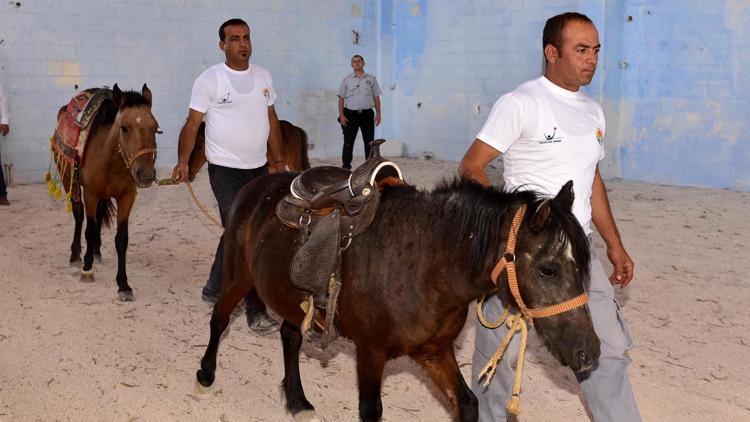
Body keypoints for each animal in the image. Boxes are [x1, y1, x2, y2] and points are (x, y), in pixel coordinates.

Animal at [53, 85, 160, 300]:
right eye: (124, 128)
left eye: (155, 128)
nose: (146, 175)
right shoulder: (91, 195)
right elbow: (89, 230)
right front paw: (86, 269)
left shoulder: (127, 197)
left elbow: (121, 239)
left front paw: (123, 285)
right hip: (69, 178)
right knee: (79, 215)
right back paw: (76, 257)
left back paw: (96, 252)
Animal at [197, 172, 604, 422]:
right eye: (548, 269)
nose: (589, 352)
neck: (428, 265)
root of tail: (259, 183)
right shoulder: (370, 352)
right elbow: (371, 409)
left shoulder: (434, 352)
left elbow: (467, 402)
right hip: (238, 275)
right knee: (220, 317)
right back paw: (205, 373)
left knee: (289, 335)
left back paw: (298, 402)